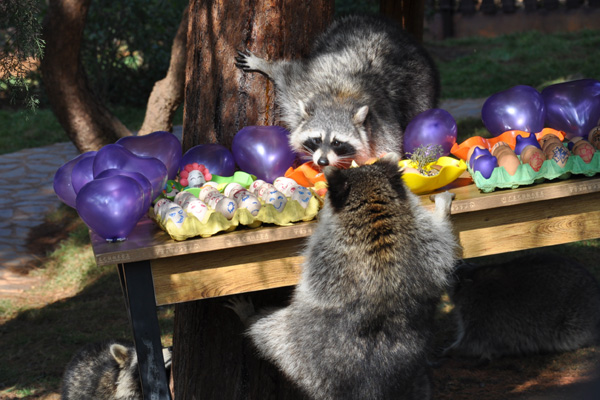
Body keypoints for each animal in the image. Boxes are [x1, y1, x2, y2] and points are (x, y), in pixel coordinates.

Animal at [227, 154, 458, 400]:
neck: (373, 207)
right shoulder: (426, 241)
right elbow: (442, 238)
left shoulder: (324, 249)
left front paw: (442, 209)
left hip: (292, 345)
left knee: (266, 331)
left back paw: (249, 316)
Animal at [236, 14, 440, 167]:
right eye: (316, 139)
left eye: (337, 142)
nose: (322, 162)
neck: (337, 100)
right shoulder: (298, 86)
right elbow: (284, 72)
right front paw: (265, 65)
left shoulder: (382, 122)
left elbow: (391, 149)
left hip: (421, 83)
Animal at [440, 253, 600, 362]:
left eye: (451, 270)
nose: (456, 259)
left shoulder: (481, 312)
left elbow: (474, 342)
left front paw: (453, 349)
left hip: (575, 320)